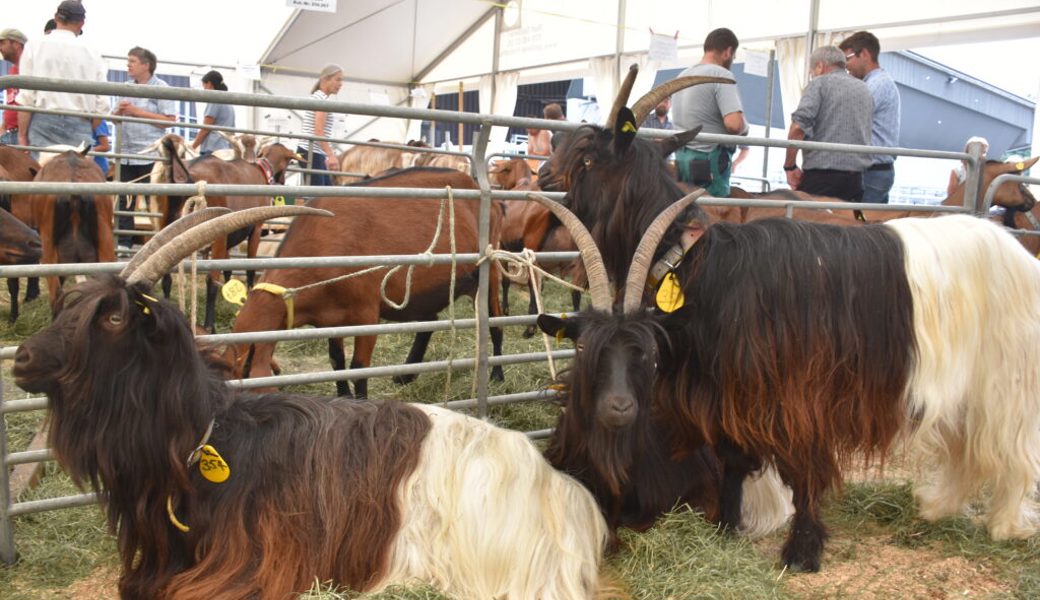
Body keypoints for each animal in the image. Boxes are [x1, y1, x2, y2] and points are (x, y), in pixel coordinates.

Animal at [12, 204, 607, 598]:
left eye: (113, 317)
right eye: (71, 305)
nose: (22, 358)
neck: (211, 441)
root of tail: (565, 497)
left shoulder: (252, 571)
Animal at [225, 165, 505, 397]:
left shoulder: (367, 314)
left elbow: (360, 368)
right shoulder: (329, 319)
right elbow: (336, 360)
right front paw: (343, 396)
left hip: (489, 271)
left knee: (495, 323)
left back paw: (497, 375)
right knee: (429, 323)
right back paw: (406, 375)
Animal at [536, 190, 1040, 569]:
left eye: (651, 352)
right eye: (582, 348)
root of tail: (1020, 255)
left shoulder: (801, 399)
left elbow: (805, 470)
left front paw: (802, 552)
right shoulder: (733, 403)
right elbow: (736, 461)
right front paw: (727, 530)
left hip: (1006, 382)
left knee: (1012, 451)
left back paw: (1005, 525)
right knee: (967, 448)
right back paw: (939, 507)